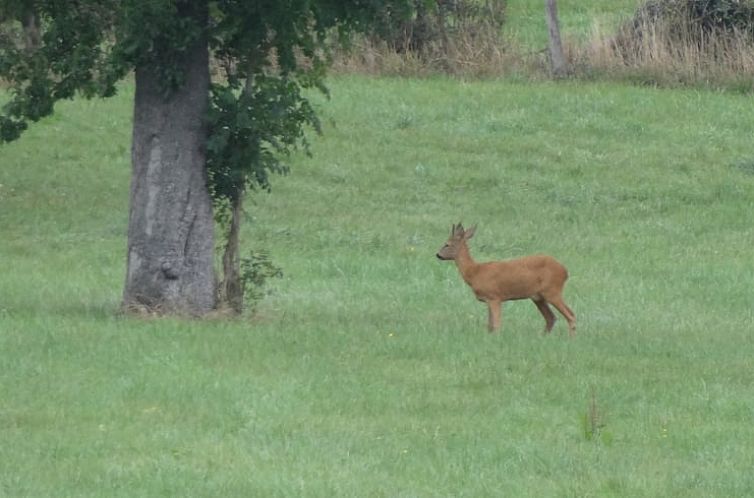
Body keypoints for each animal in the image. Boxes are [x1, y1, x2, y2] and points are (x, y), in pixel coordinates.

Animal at [434, 224, 576, 336]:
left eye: (447, 244)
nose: (438, 255)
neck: (475, 272)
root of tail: (565, 271)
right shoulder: (488, 299)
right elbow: (489, 325)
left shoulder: (494, 296)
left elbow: (496, 324)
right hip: (538, 297)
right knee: (551, 318)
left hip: (552, 291)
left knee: (570, 315)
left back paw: (571, 339)